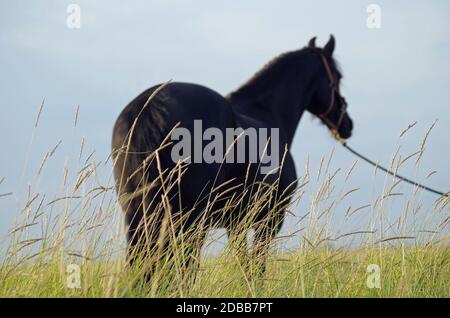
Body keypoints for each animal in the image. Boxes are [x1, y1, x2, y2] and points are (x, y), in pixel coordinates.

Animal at [111, 35, 352, 280]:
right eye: (338, 76)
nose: (347, 125)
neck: (268, 114)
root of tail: (150, 105)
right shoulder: (270, 220)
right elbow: (257, 268)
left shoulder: (236, 224)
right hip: (188, 221)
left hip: (138, 216)